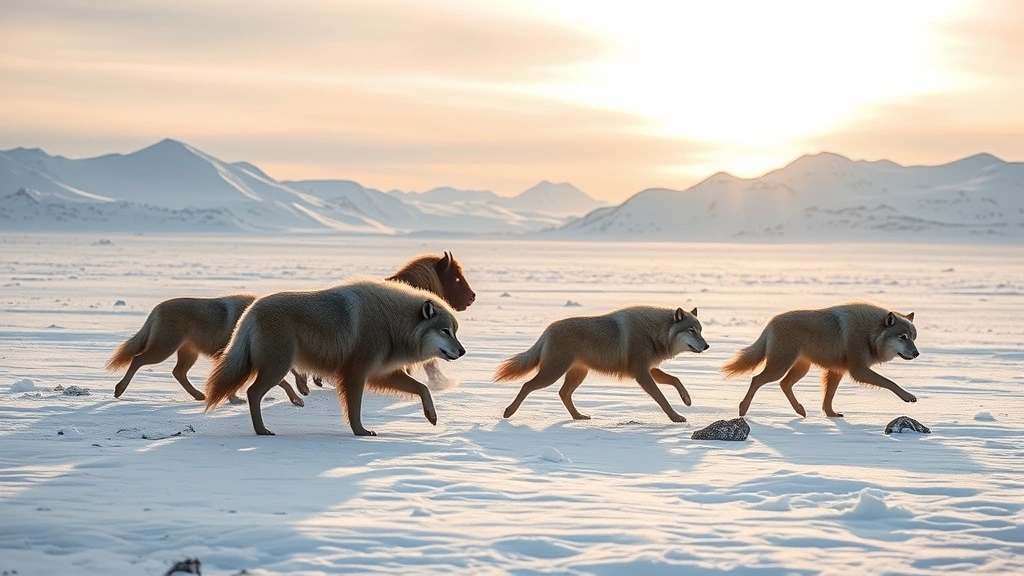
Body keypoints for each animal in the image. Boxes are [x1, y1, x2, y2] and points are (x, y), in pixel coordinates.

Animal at [107, 295, 305, 406]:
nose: (307, 389)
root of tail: (156, 309)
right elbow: (283, 381)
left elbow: (284, 382)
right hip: (163, 350)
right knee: (138, 359)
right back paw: (119, 389)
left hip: (187, 354)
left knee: (177, 372)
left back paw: (198, 395)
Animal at [203, 280, 466, 436]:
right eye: (445, 331)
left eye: (455, 331)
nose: (463, 351)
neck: (392, 322)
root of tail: (250, 312)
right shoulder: (355, 373)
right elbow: (355, 408)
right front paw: (361, 432)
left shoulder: (380, 374)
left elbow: (423, 388)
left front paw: (431, 415)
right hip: (277, 367)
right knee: (252, 393)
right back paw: (262, 430)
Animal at [495, 306, 708, 422]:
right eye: (691, 330)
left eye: (700, 330)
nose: (707, 346)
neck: (655, 333)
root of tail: (547, 330)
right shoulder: (641, 374)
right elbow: (661, 398)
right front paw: (676, 417)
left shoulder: (648, 369)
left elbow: (676, 379)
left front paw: (687, 399)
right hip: (552, 374)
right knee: (527, 385)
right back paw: (508, 412)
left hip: (577, 374)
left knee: (563, 393)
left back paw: (578, 417)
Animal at [722, 302, 919, 418]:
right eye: (902, 337)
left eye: (913, 337)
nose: (917, 353)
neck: (870, 333)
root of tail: (770, 323)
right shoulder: (858, 370)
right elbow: (890, 382)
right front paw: (907, 396)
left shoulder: (837, 371)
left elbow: (828, 397)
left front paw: (831, 414)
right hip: (780, 367)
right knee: (757, 379)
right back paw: (743, 409)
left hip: (801, 368)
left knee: (784, 384)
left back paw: (800, 410)